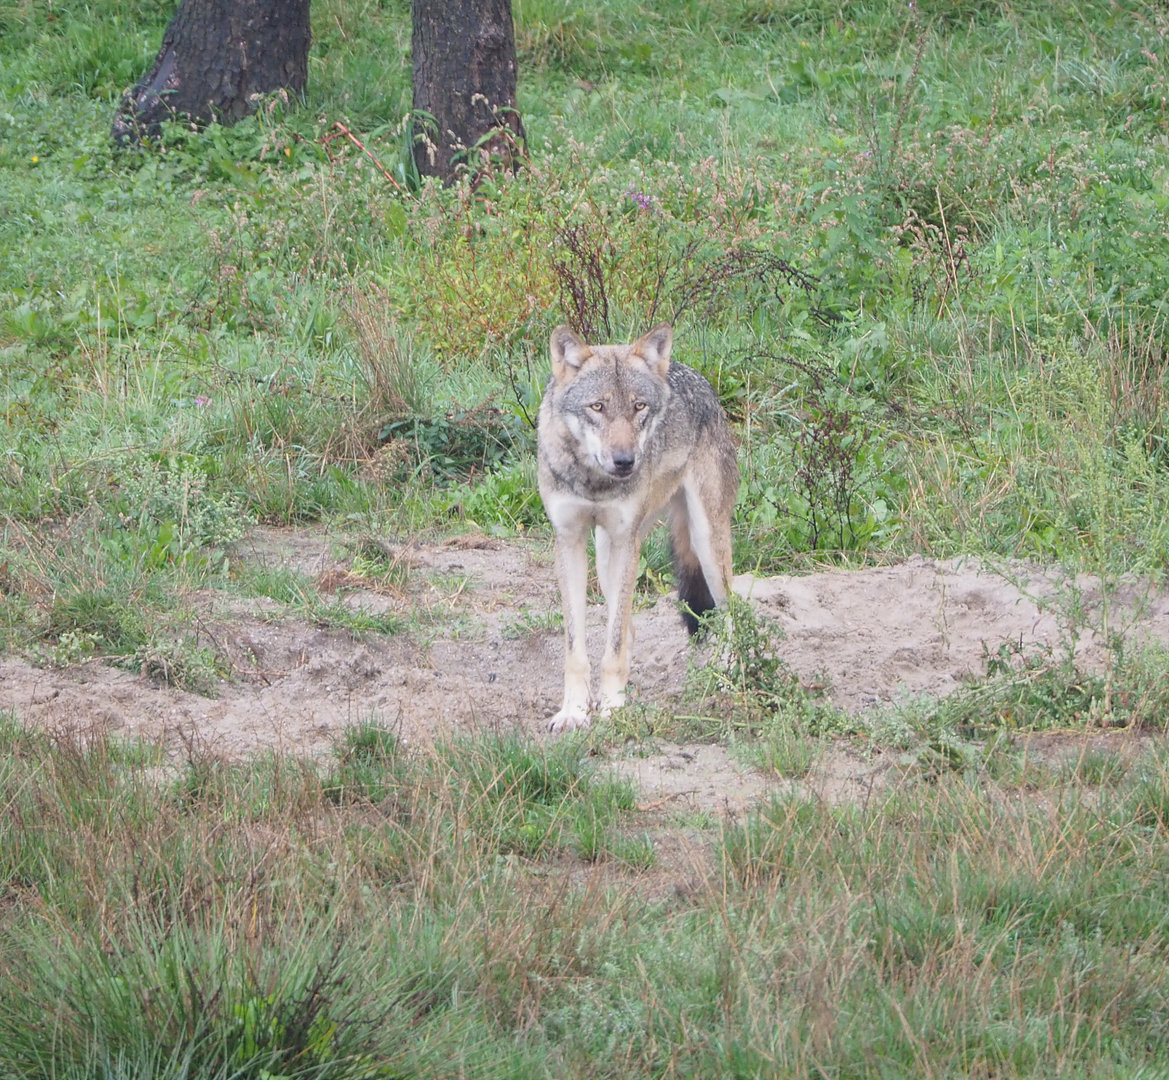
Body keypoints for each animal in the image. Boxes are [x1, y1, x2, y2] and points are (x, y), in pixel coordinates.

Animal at [537, 323, 739, 732]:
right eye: (597, 407)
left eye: (639, 406)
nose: (625, 461)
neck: (594, 480)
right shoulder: (570, 540)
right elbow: (578, 647)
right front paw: (575, 711)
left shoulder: (624, 540)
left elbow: (612, 646)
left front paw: (613, 709)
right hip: (605, 552)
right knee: (626, 624)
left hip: (705, 541)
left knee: (733, 614)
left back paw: (728, 681)